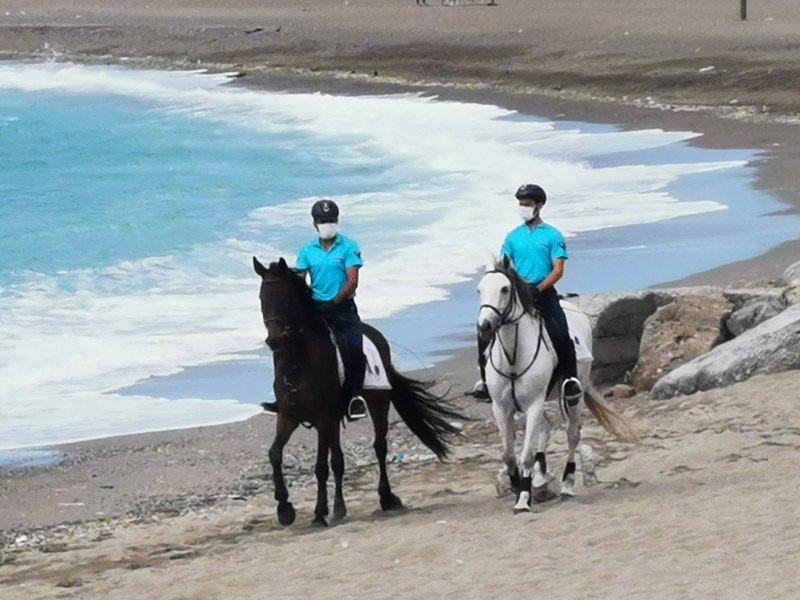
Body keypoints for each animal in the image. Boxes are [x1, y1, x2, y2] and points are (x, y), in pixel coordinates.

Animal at [250, 255, 462, 528]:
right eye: (262, 297)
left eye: (285, 297)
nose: (273, 340)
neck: (299, 362)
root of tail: (377, 337)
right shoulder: (289, 415)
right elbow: (275, 454)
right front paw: (285, 508)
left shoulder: (323, 417)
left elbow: (320, 467)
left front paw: (318, 513)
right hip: (333, 420)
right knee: (339, 461)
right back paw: (340, 508)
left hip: (377, 402)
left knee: (379, 447)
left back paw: (386, 498)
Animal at [476, 255, 636, 512]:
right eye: (479, 289)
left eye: (504, 289)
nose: (485, 326)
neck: (513, 355)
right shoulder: (501, 407)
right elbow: (509, 455)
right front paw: (516, 486)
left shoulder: (533, 404)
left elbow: (526, 455)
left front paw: (523, 499)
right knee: (547, 430)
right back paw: (541, 476)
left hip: (574, 396)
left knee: (572, 435)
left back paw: (567, 484)